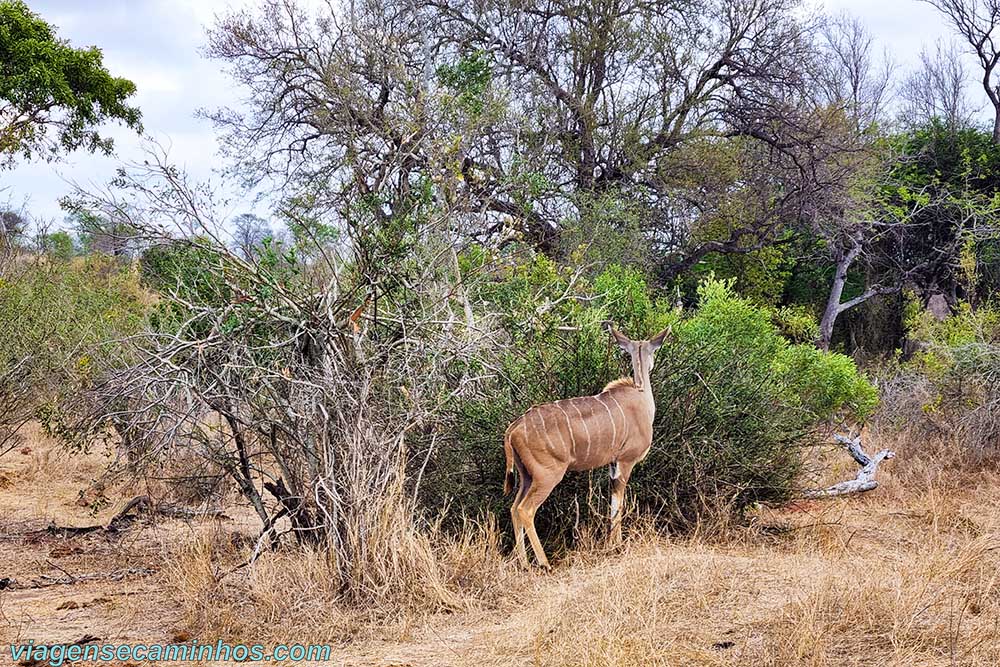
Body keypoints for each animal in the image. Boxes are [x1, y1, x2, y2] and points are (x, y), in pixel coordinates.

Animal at [500, 324, 672, 568]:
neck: (640, 395)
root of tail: (513, 428)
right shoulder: (626, 461)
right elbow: (619, 502)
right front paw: (617, 546)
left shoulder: (612, 464)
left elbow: (613, 501)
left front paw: (611, 546)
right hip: (547, 475)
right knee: (525, 509)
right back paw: (544, 563)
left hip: (526, 475)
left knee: (514, 507)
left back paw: (524, 564)